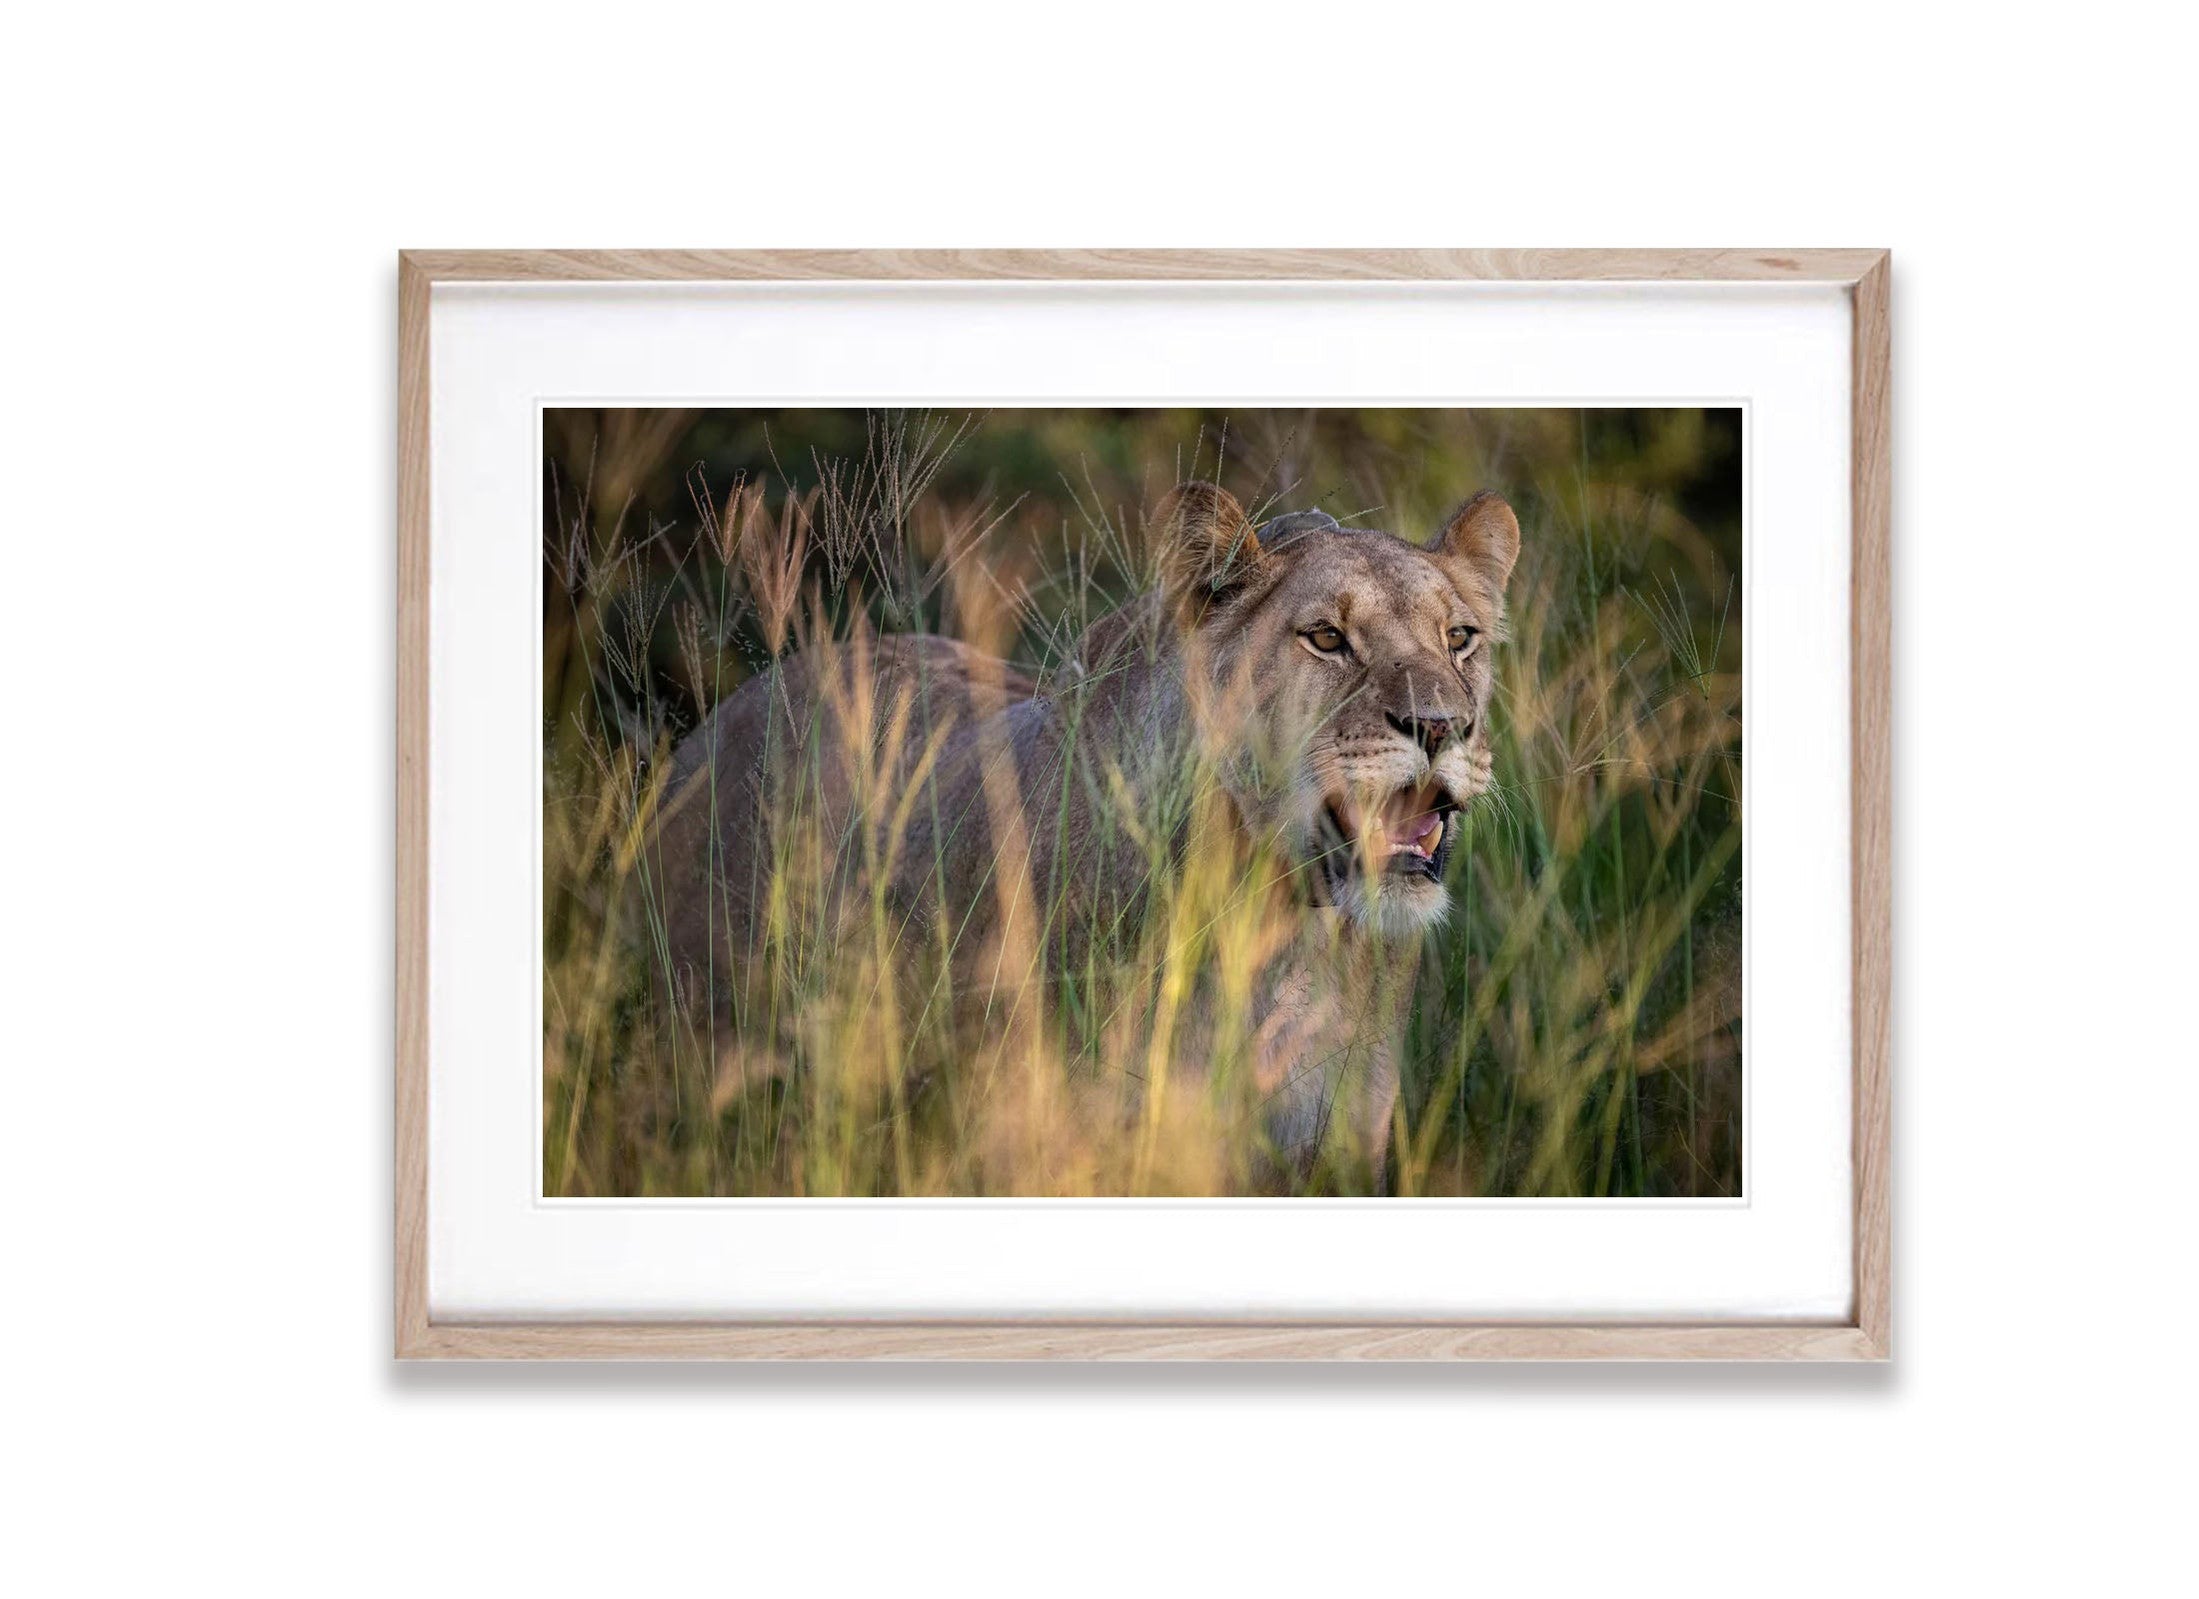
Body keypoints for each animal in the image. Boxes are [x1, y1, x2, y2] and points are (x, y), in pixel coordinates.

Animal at [643, 481, 1521, 1187]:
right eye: (1327, 639)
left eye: (1459, 638)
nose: (1441, 725)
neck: (1280, 934)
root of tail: (723, 715)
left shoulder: (1336, 1157)